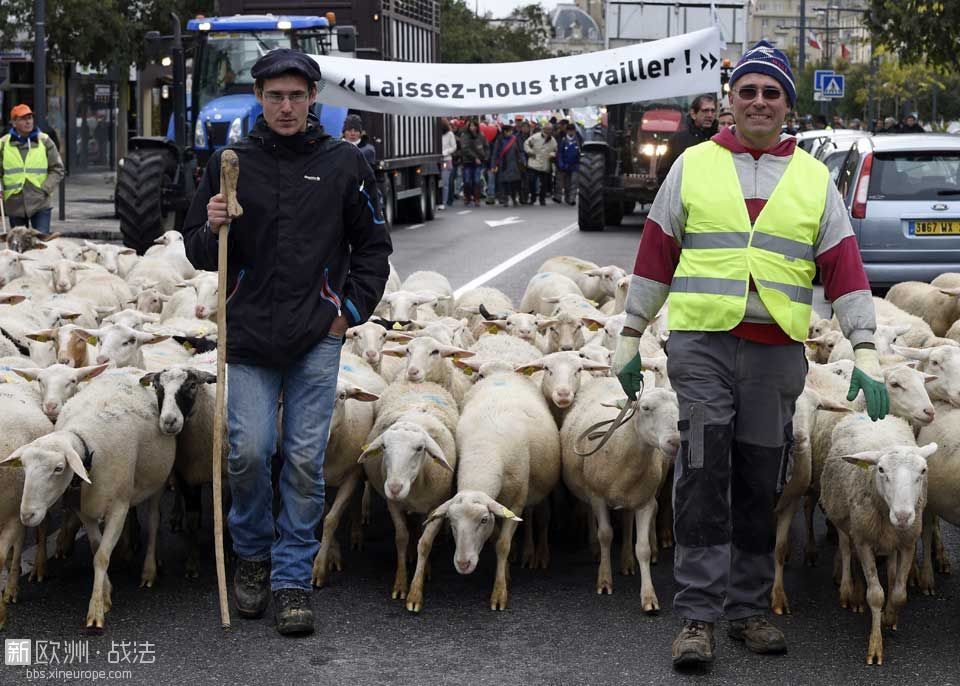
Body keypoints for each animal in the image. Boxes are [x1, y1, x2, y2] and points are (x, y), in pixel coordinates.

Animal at [820, 414, 932, 668]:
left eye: (923, 470)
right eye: (881, 469)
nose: (903, 516)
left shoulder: (908, 542)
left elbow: (899, 593)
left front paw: (890, 616)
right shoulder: (864, 541)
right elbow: (875, 595)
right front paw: (875, 646)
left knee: (890, 567)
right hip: (843, 521)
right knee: (846, 550)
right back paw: (849, 590)